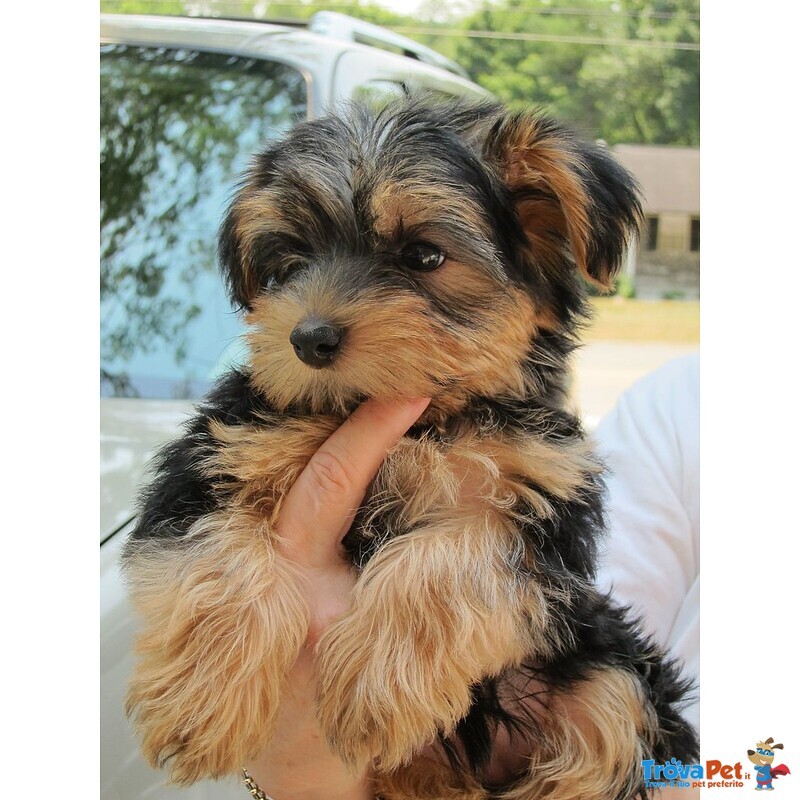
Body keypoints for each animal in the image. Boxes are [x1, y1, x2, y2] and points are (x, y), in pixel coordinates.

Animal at [122, 97, 696, 796]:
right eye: (290, 262)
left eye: (423, 256)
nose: (308, 339)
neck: (426, 422)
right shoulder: (224, 449)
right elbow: (216, 552)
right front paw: (201, 699)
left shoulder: (538, 499)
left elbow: (454, 551)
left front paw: (375, 682)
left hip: (605, 662)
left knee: (612, 718)